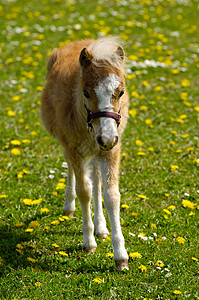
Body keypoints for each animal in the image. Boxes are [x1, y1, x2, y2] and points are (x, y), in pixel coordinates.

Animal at [41, 37, 130, 270]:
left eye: (121, 92)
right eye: (86, 92)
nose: (107, 138)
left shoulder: (111, 150)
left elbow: (111, 195)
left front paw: (121, 256)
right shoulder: (73, 147)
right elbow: (84, 191)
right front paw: (88, 243)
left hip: (98, 151)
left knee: (96, 178)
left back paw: (101, 227)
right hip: (70, 146)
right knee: (75, 171)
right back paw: (69, 206)